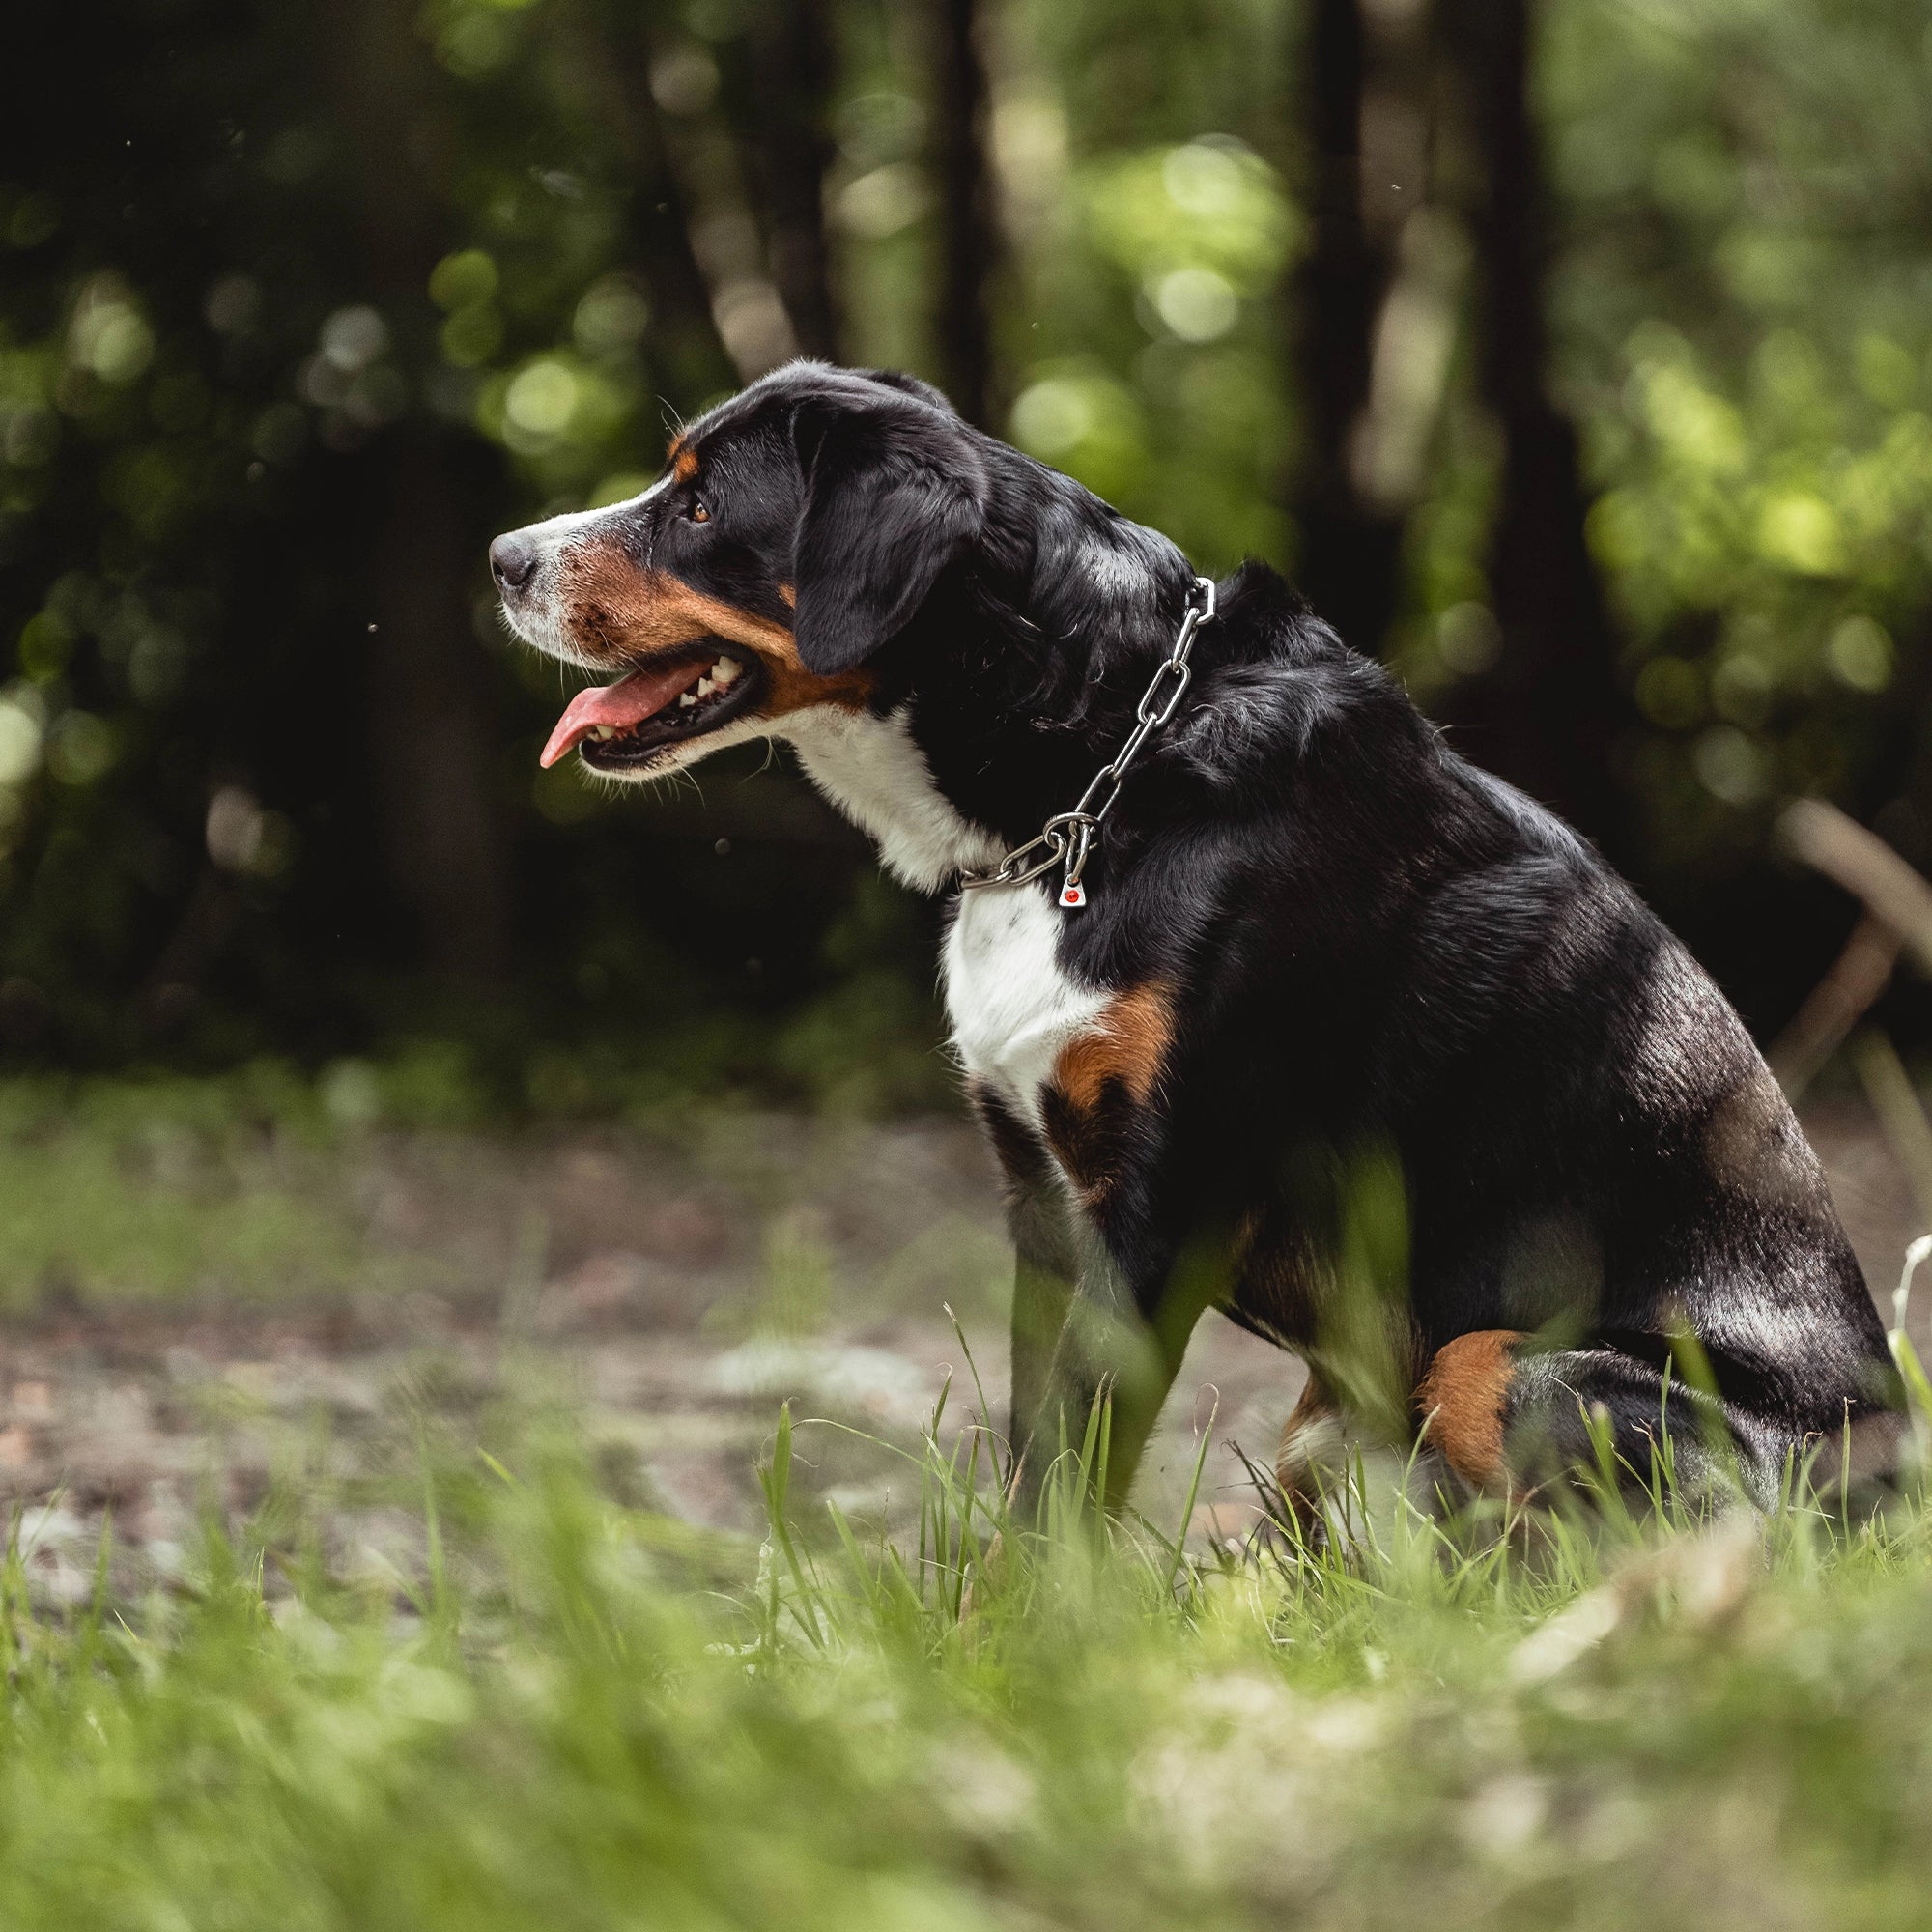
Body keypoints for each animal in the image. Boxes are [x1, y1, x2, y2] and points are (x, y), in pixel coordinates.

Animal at [495, 359, 1901, 1507]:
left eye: (697, 510)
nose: (505, 556)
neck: (1105, 770)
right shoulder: (1043, 1203)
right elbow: (1033, 1461)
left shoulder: (1164, 1198)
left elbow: (1066, 1485)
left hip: (1511, 1361)